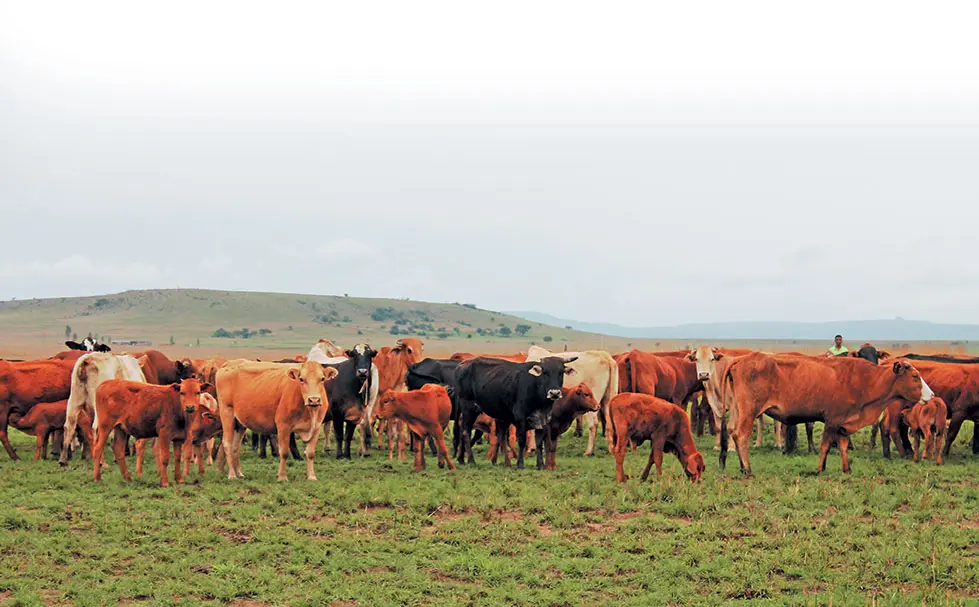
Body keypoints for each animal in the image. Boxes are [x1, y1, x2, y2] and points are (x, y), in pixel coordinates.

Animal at [722, 354, 930, 476]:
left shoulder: (843, 424)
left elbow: (843, 446)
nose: (931, 395)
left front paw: (846, 469)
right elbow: (825, 445)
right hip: (749, 412)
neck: (865, 380)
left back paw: (741, 467)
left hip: (738, 411)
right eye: (915, 377)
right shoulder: (832, 420)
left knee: (733, 432)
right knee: (741, 435)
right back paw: (748, 469)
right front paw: (820, 468)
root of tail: (742, 359)